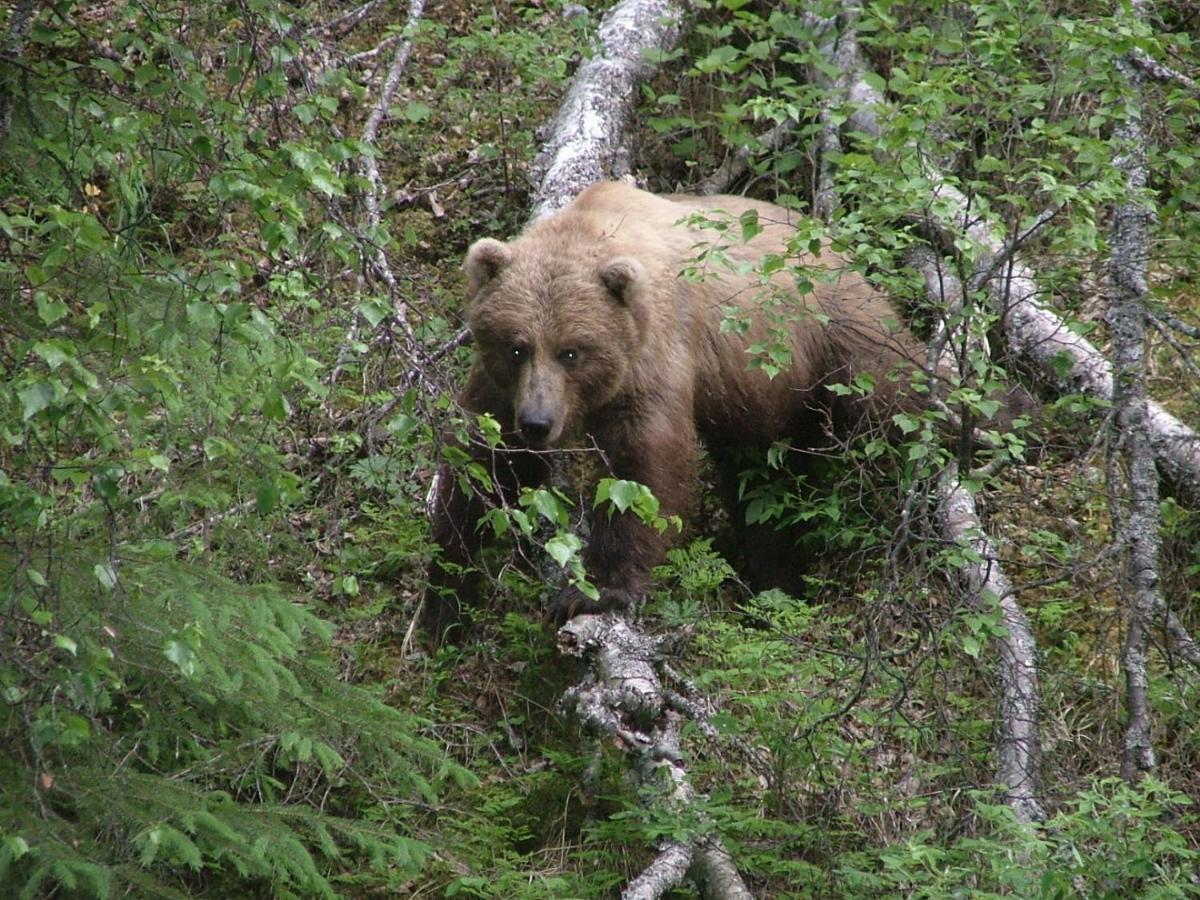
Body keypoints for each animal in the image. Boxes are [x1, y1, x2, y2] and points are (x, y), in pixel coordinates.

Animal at [422, 180, 936, 638]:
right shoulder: (501, 390)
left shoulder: (656, 356)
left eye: (571, 351)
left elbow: (646, 469)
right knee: (766, 491)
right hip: (759, 402)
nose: (537, 423)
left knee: (897, 393)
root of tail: (828, 239)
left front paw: (592, 591)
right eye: (517, 347)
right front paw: (446, 594)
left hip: (834, 332)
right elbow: (484, 462)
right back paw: (777, 579)